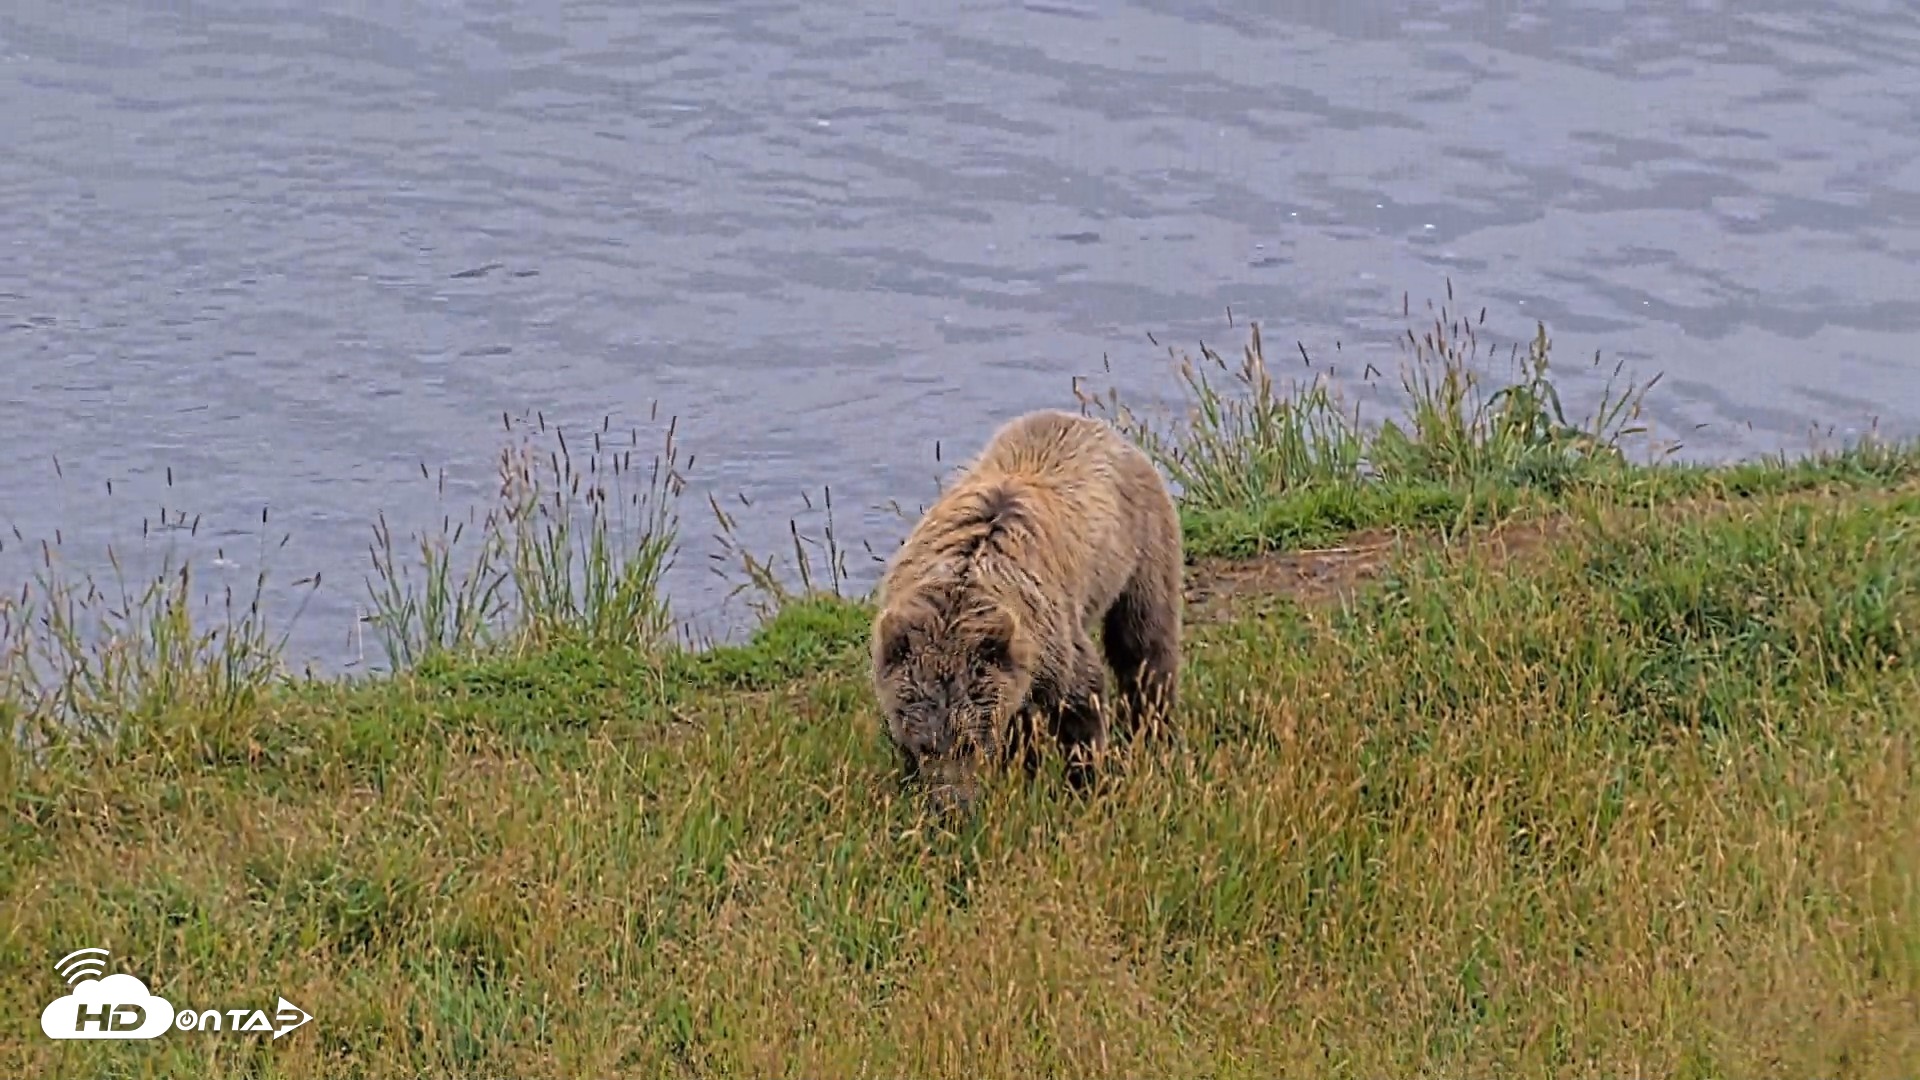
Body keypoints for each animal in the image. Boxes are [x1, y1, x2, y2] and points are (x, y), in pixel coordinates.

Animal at [869, 407, 1184, 815]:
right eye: (925, 745)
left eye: (970, 743)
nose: (953, 806)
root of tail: (1096, 426)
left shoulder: (1050, 637)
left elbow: (1081, 696)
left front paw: (1085, 782)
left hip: (1140, 546)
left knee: (1144, 644)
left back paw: (1155, 729)